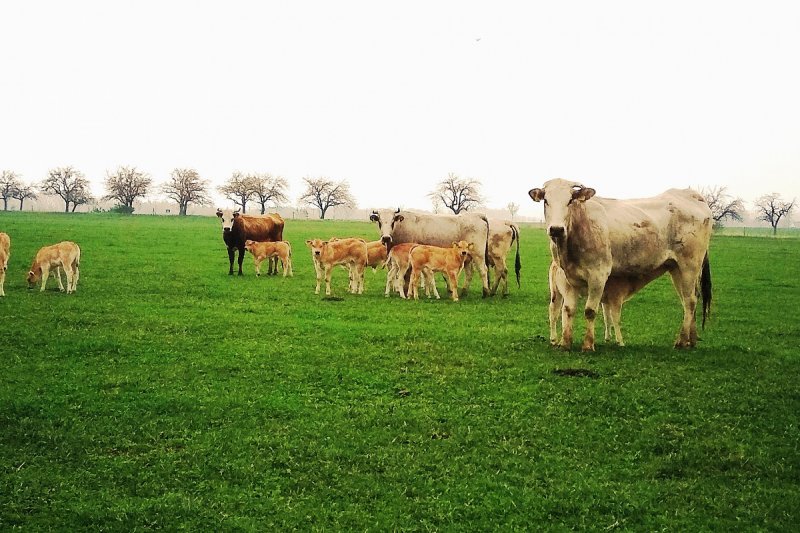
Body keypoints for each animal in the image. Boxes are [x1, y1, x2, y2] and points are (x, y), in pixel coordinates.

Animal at [532, 179, 712, 350]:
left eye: (570, 200)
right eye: (546, 200)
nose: (556, 229)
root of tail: (691, 194)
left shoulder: (598, 275)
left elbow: (590, 311)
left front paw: (588, 345)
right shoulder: (568, 278)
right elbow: (569, 309)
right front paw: (565, 343)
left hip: (690, 265)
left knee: (690, 301)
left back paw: (681, 342)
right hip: (676, 268)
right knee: (687, 300)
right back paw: (691, 340)